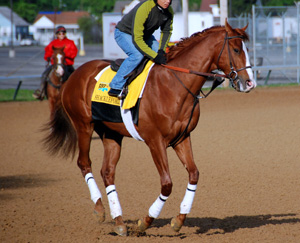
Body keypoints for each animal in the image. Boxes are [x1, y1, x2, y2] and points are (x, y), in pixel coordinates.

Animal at [43, 21, 256, 236]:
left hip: (111, 134)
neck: (174, 85)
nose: (250, 83)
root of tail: (74, 76)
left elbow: (194, 174)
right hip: (83, 126)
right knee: (84, 163)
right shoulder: (155, 141)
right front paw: (145, 222)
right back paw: (100, 209)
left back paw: (119, 222)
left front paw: (178, 220)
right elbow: (167, 184)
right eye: (236, 49)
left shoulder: (182, 138)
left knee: (108, 172)